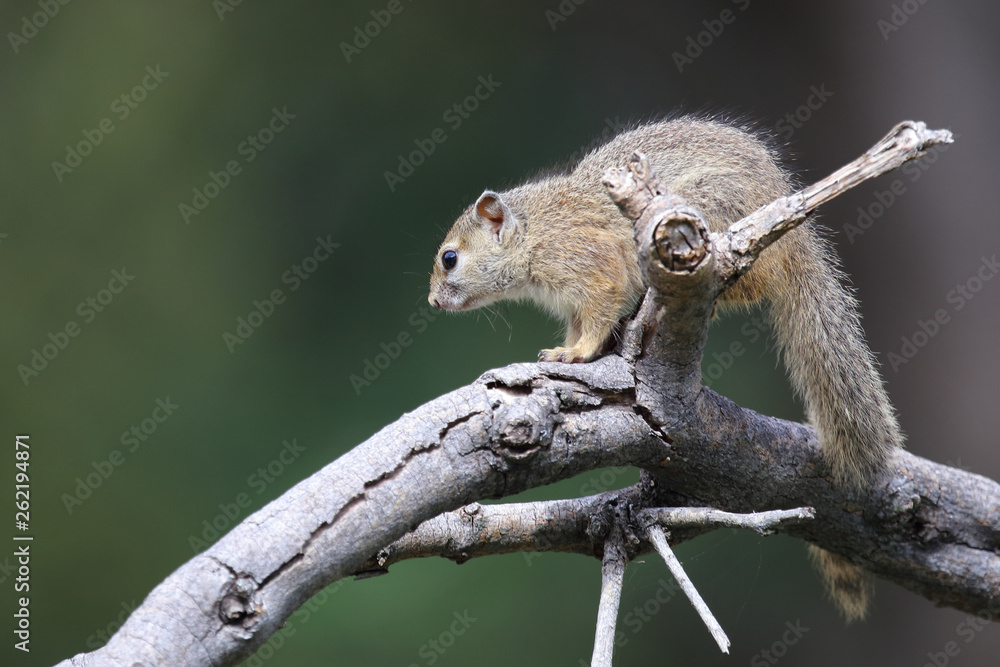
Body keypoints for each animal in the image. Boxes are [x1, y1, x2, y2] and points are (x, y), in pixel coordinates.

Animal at [428, 115, 903, 621]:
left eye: (450, 258)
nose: (433, 302)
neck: (537, 230)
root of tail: (797, 243)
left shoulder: (592, 269)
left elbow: (596, 321)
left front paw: (574, 356)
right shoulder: (572, 300)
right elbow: (580, 328)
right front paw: (567, 350)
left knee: (748, 281)